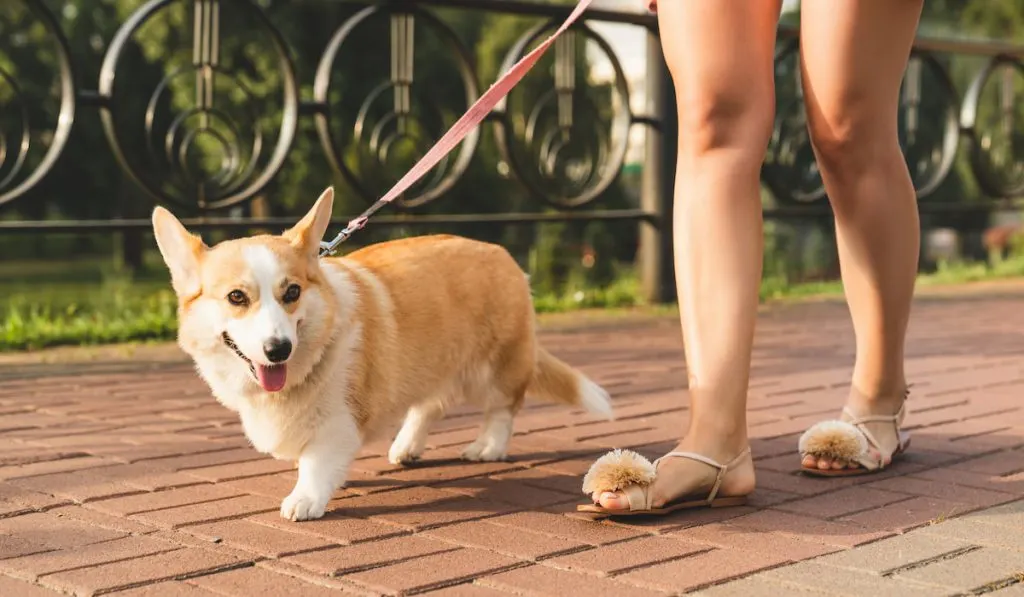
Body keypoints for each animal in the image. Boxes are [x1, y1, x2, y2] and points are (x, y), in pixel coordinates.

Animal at [150, 189, 610, 520]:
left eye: (292, 292)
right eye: (236, 297)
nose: (278, 350)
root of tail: (504, 255)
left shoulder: (340, 419)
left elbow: (317, 461)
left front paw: (306, 499)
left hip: (496, 367)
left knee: (502, 409)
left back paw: (487, 447)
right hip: (429, 363)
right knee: (430, 405)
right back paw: (406, 447)